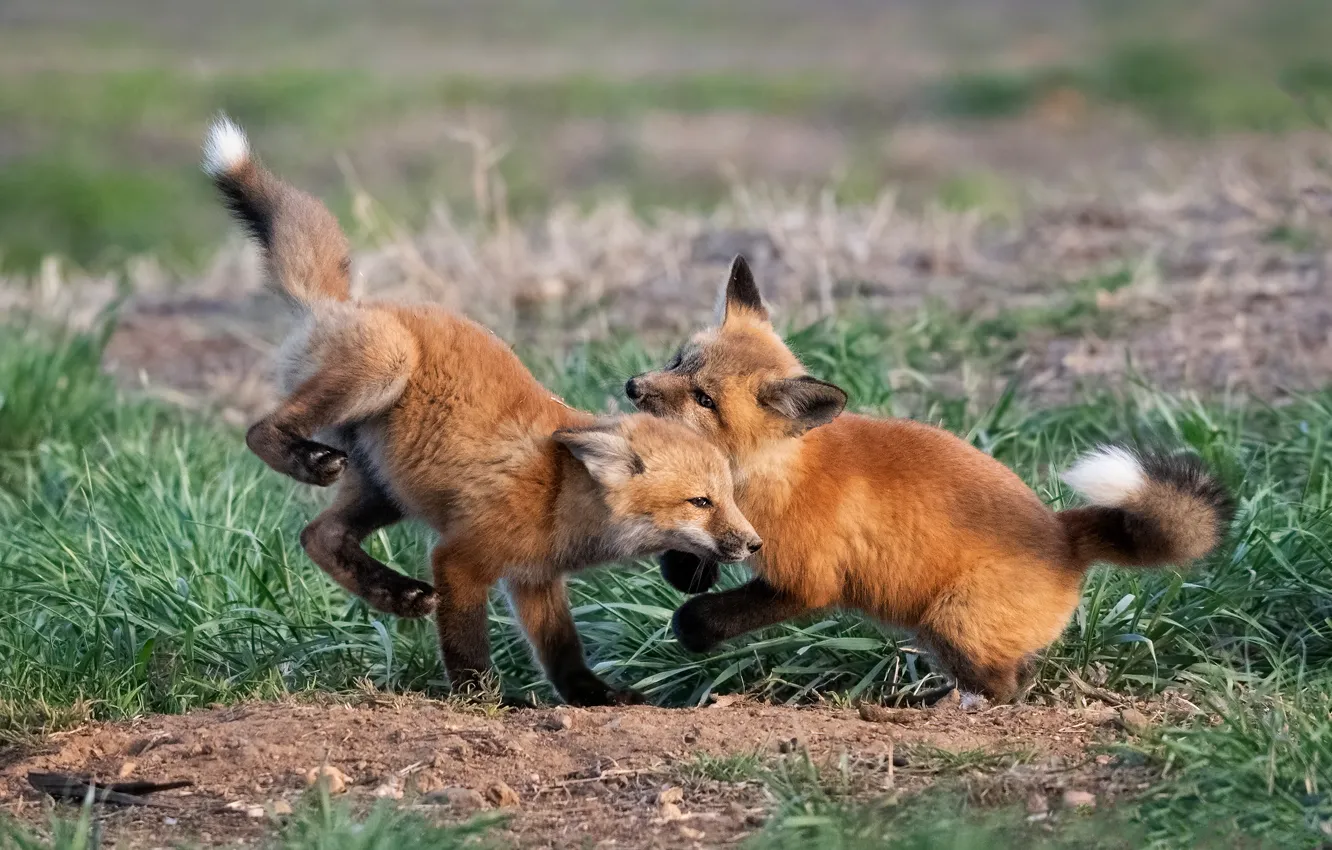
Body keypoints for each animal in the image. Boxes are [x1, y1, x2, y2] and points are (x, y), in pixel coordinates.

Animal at [201, 117, 761, 706]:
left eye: (729, 496)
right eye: (700, 501)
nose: (755, 543)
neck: (556, 493)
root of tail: (346, 303)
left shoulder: (535, 578)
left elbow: (563, 652)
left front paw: (595, 696)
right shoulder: (461, 559)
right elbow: (466, 642)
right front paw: (481, 698)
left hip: (385, 487)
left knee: (319, 535)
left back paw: (395, 593)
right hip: (385, 367)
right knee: (260, 431)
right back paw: (303, 460)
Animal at [625, 256, 1234, 703]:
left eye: (705, 399)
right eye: (678, 361)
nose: (632, 386)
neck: (772, 473)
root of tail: (1065, 533)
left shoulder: (807, 582)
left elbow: (715, 611)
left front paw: (692, 624)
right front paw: (687, 566)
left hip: (953, 626)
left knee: (1007, 688)